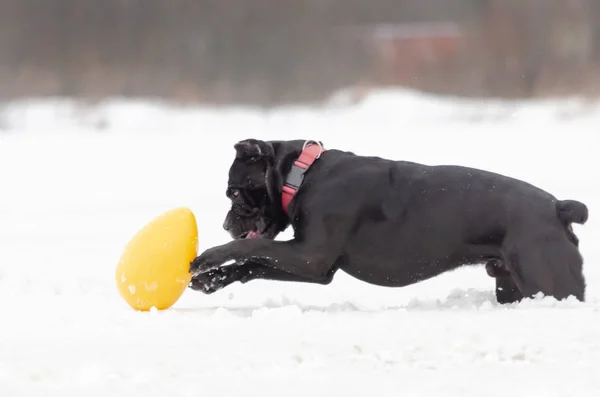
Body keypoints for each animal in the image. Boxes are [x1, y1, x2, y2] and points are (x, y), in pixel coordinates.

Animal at [190, 139, 588, 304]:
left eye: (234, 192)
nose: (225, 223)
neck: (302, 173)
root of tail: (558, 208)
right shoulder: (317, 267)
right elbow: (253, 263)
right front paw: (212, 279)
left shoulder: (310, 256)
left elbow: (251, 247)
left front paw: (207, 258)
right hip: (511, 285)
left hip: (548, 282)